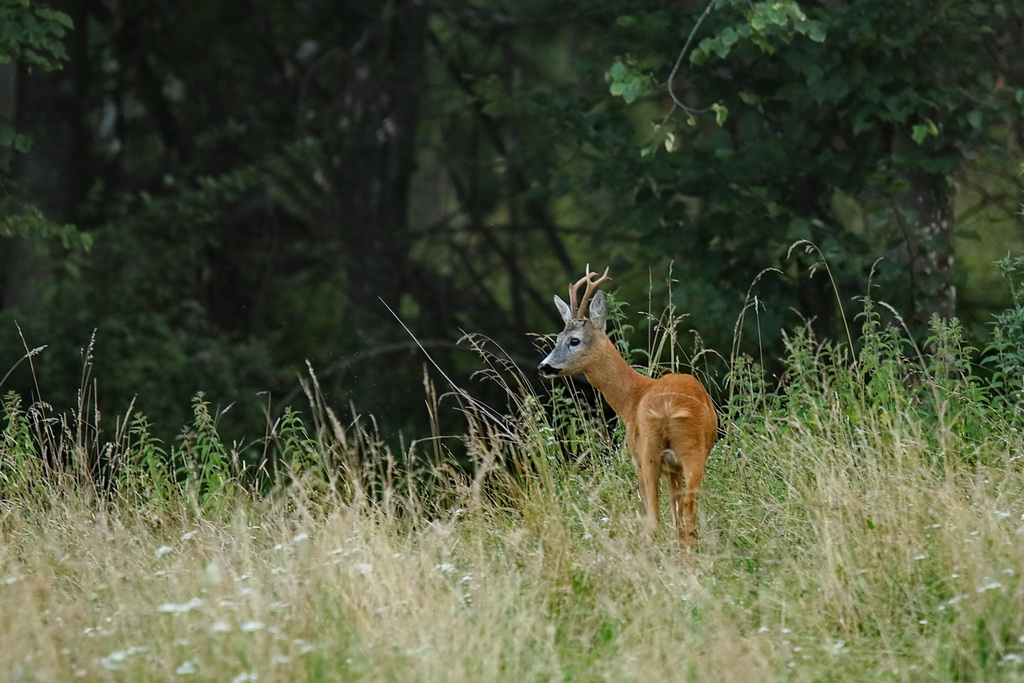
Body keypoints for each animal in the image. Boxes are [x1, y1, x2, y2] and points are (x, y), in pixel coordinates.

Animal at [540, 266, 716, 548]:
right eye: (557, 338)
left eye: (574, 340)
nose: (543, 366)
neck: (632, 397)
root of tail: (668, 408)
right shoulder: (674, 467)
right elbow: (678, 515)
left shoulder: (637, 456)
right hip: (692, 452)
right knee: (688, 513)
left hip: (648, 452)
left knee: (653, 519)